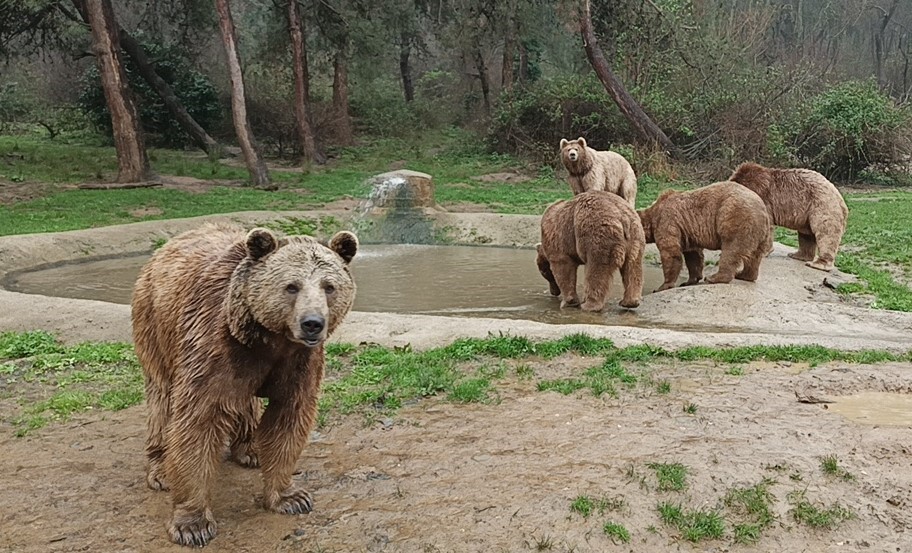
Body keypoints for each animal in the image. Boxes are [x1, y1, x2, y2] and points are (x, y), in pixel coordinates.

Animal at [132, 222, 360, 544]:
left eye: (329, 286)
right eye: (292, 286)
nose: (312, 323)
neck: (268, 339)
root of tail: (171, 242)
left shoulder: (299, 363)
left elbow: (288, 420)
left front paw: (290, 497)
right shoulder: (211, 345)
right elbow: (197, 423)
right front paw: (192, 524)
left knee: (246, 402)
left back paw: (250, 450)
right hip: (155, 324)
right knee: (162, 399)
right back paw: (161, 469)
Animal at [636, 182, 772, 294]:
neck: (652, 215)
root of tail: (763, 210)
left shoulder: (667, 221)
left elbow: (671, 253)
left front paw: (662, 286)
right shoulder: (688, 231)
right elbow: (693, 255)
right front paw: (689, 281)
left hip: (735, 216)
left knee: (731, 249)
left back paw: (714, 277)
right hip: (761, 233)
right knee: (755, 256)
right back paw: (743, 275)